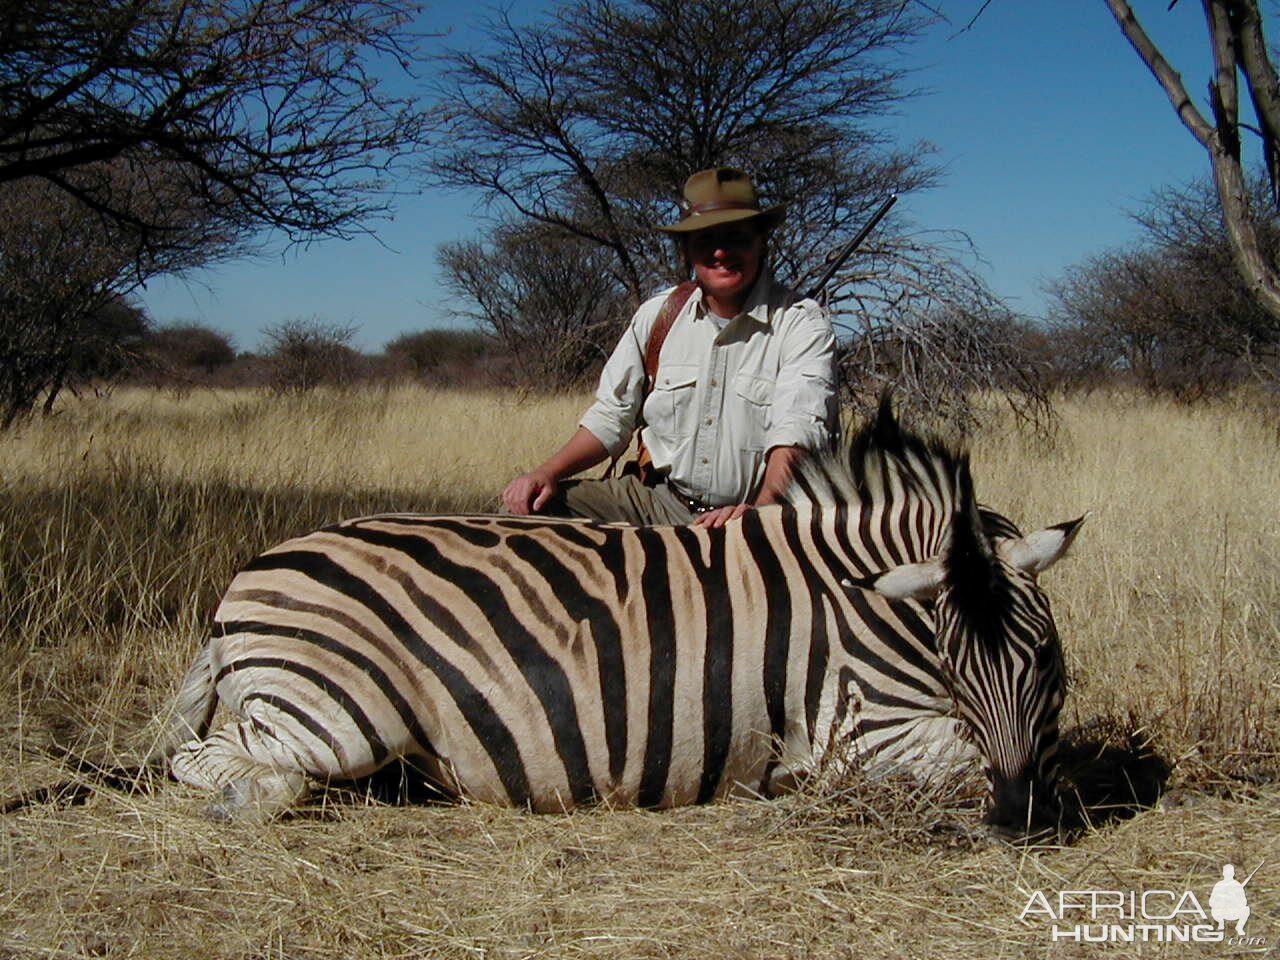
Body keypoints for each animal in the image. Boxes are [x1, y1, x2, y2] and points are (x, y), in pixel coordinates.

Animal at [154, 401, 1085, 829]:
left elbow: (1045, 759)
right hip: (337, 711)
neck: (860, 598)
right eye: (954, 662)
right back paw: (240, 801)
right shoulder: (862, 728)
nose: (1016, 819)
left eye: (1045, 660)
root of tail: (246, 575)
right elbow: (957, 759)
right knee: (212, 764)